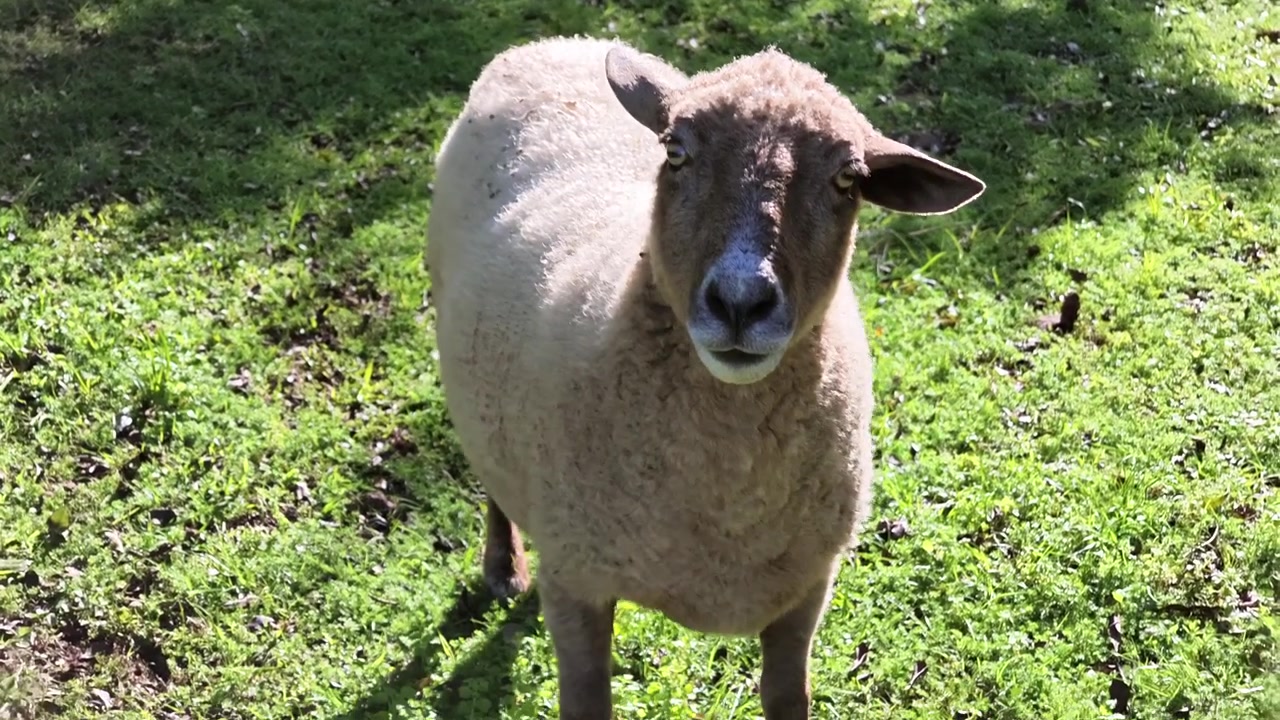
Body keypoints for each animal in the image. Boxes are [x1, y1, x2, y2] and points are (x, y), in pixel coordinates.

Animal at [424, 35, 985, 720]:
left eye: (848, 179)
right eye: (675, 152)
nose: (741, 302)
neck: (729, 502)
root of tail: (549, 45)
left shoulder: (806, 589)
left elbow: (786, 695)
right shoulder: (579, 584)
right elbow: (587, 700)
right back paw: (504, 567)